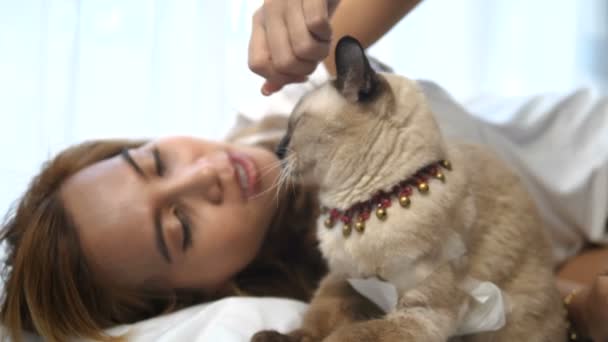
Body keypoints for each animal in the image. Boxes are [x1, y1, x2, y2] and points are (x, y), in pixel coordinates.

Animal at [252, 36, 564, 342]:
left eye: (296, 125)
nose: (278, 151)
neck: (365, 207)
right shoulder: (344, 280)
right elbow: (314, 322)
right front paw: (275, 336)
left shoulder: (418, 311)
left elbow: (348, 335)